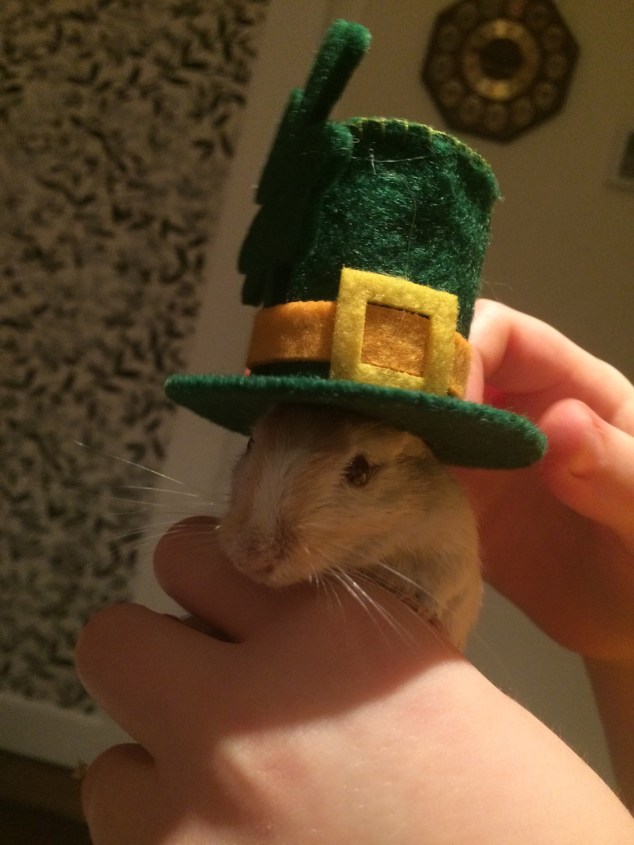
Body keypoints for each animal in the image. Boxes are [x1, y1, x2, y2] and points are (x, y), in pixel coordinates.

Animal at [216, 403, 481, 649]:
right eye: (250, 443)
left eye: (360, 470)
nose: (249, 561)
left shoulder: (452, 555)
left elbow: (441, 591)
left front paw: (418, 607)